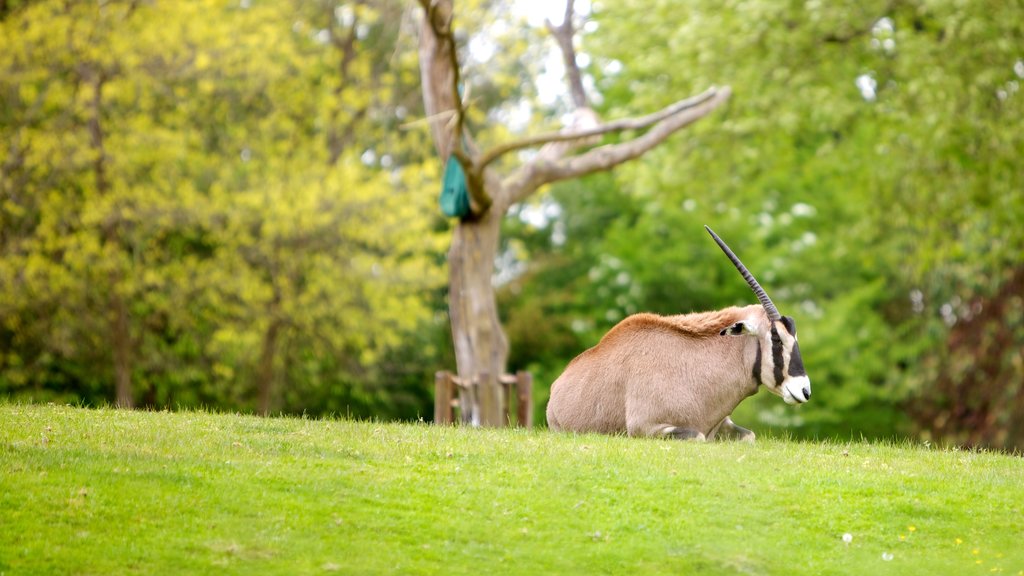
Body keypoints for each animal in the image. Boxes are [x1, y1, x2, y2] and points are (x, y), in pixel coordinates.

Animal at [548, 224, 811, 438]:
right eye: (776, 338)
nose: (805, 391)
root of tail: (559, 383)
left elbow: (750, 436)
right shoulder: (647, 427)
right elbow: (698, 436)